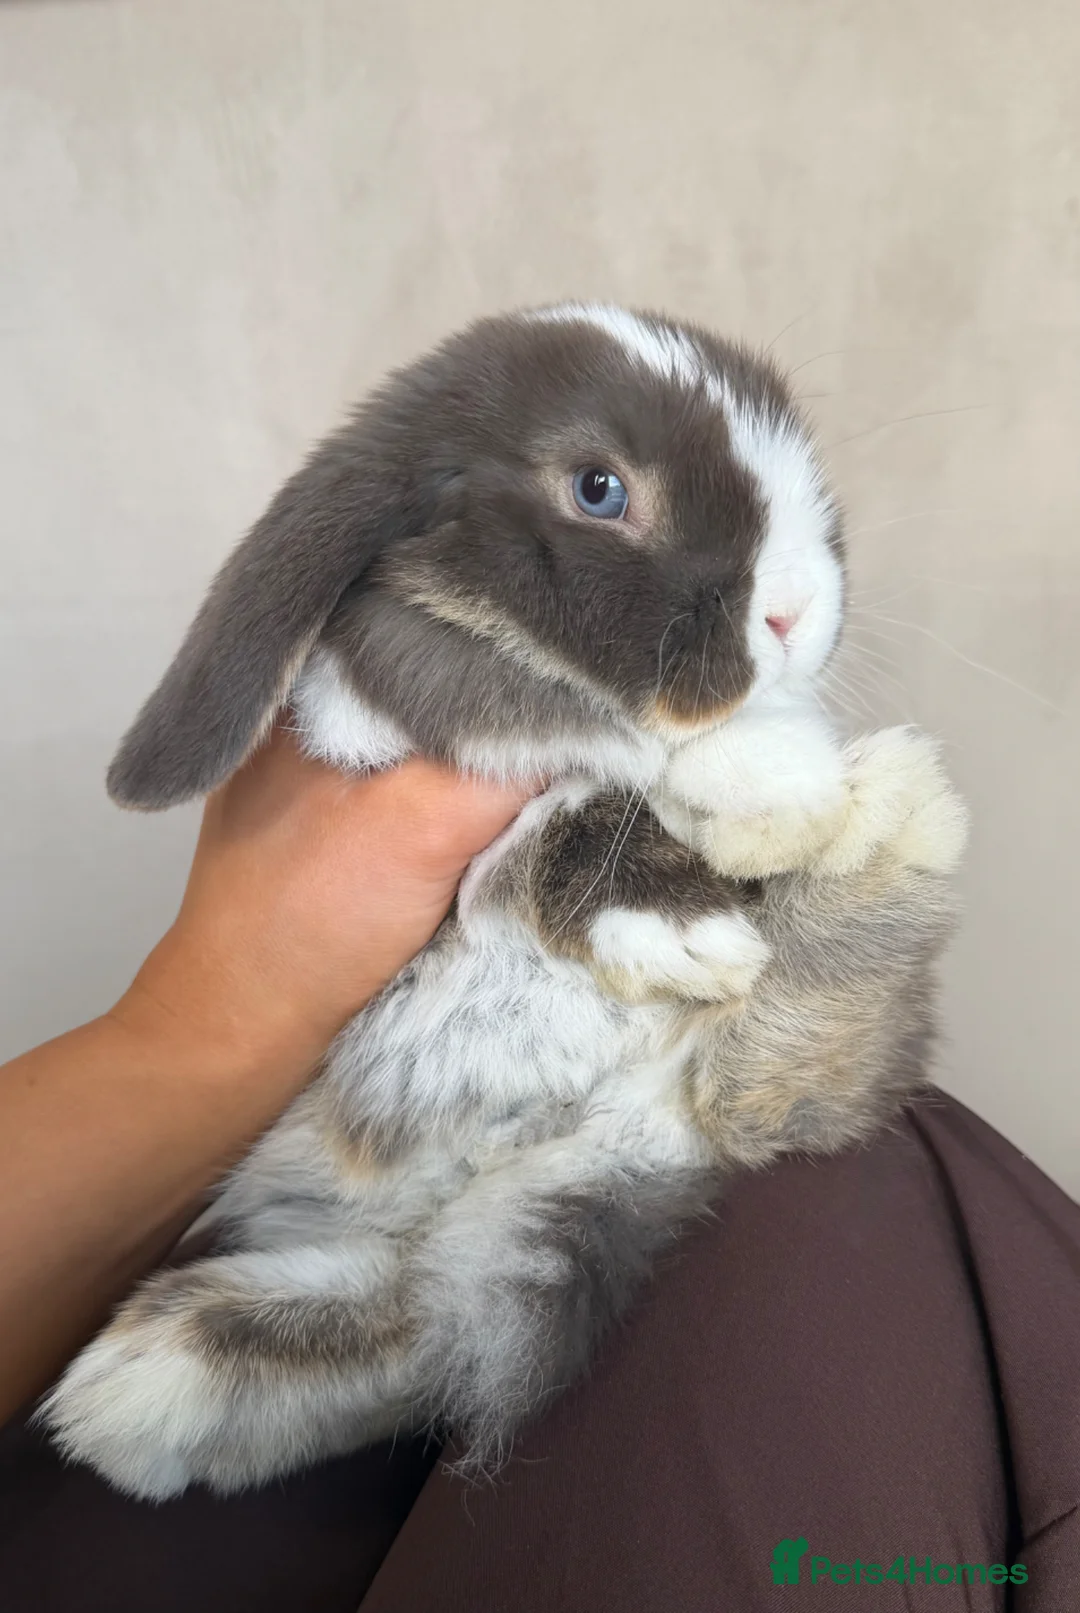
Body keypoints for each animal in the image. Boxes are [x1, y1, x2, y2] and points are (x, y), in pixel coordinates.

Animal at [41, 303, 968, 1500]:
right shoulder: (423, 702)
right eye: (600, 489)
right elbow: (574, 762)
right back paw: (142, 1387)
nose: (796, 615)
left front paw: (786, 787)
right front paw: (760, 797)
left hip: (639, 1138)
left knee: (770, 1099)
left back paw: (894, 826)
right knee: (414, 1320)